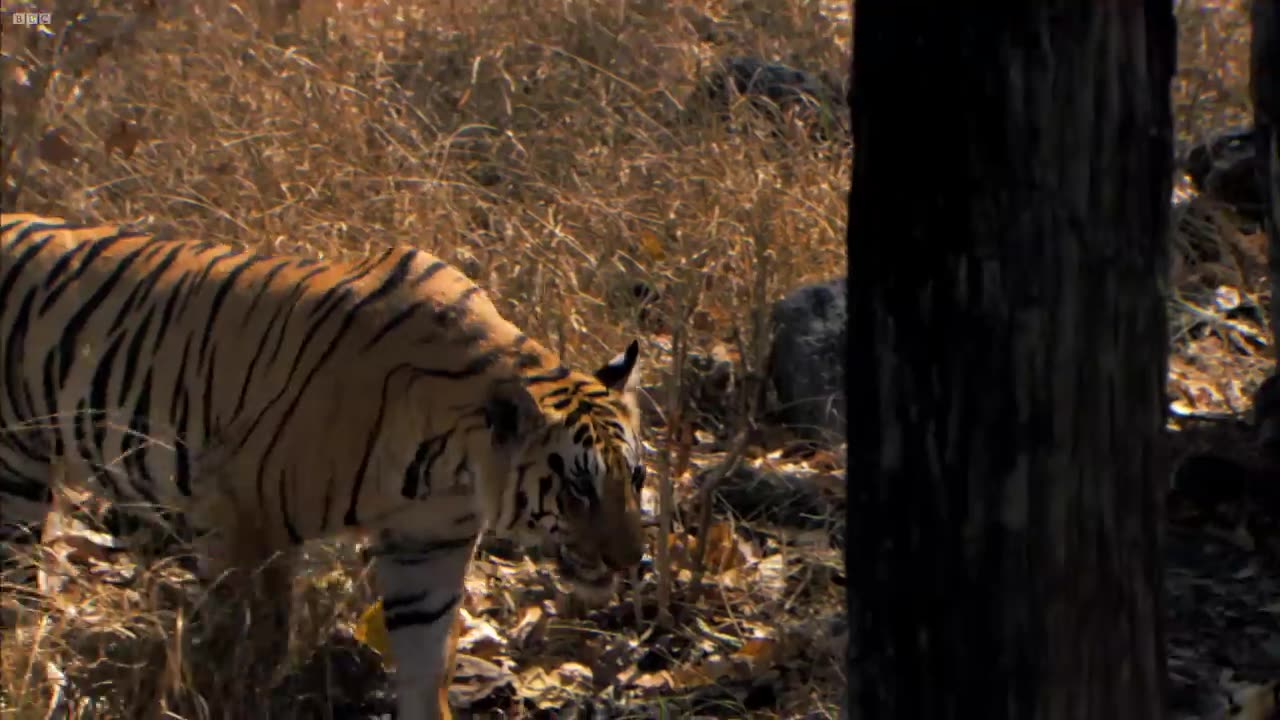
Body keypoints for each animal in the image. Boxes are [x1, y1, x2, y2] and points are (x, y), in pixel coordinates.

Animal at [0, 211, 650, 717]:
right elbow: (247, 644)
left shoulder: (427, 546)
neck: (452, 467)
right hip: (14, 478)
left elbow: (426, 664)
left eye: (636, 477)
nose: (628, 562)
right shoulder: (246, 517)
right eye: (576, 488)